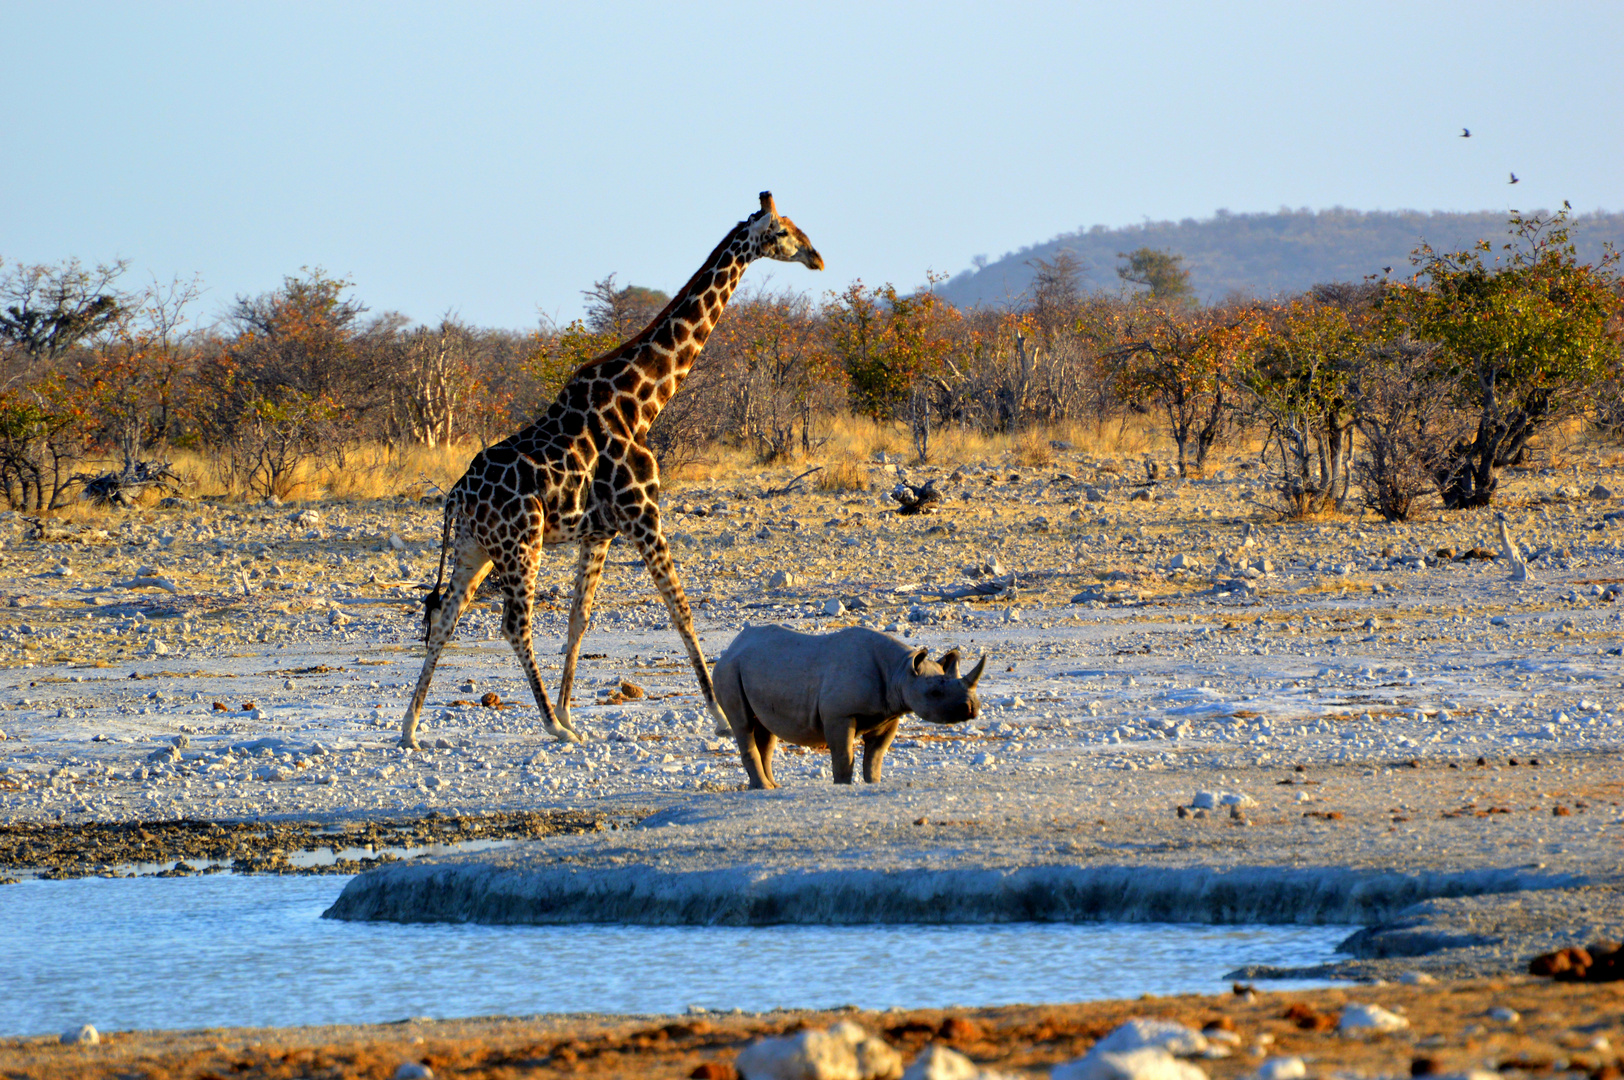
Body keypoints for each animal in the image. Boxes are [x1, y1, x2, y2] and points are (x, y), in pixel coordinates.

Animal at [399, 191, 818, 750]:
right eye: (785, 232)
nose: (818, 258)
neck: (639, 402)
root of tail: (456, 496)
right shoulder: (644, 517)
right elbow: (680, 608)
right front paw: (718, 716)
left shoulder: (599, 533)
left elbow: (579, 620)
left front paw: (570, 710)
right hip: (520, 543)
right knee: (513, 624)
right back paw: (549, 727)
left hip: (475, 549)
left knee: (445, 617)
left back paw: (410, 727)